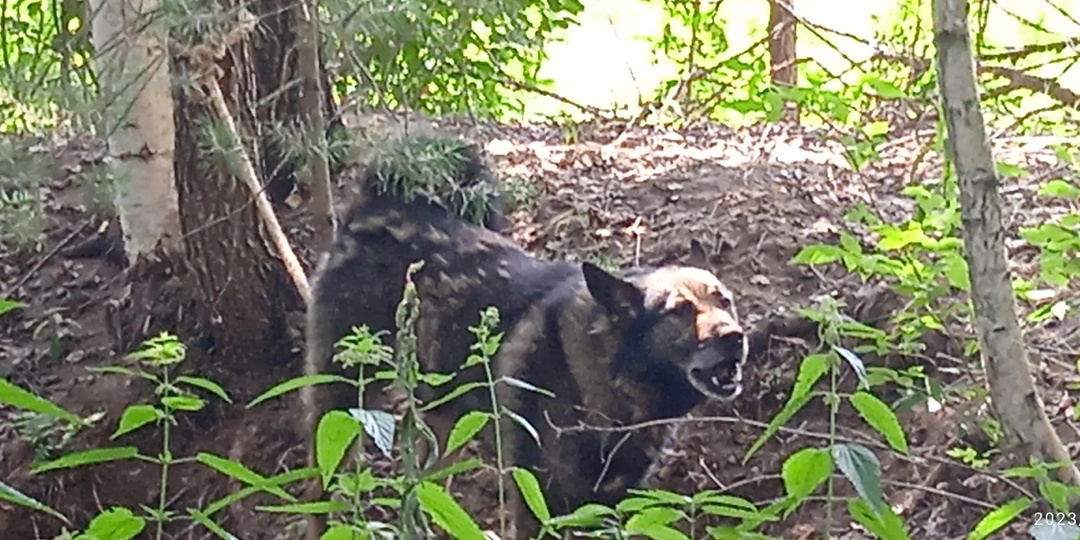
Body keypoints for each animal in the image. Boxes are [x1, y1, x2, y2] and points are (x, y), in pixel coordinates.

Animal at [300, 139, 747, 540]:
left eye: (724, 301)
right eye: (679, 312)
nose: (735, 337)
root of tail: (374, 210)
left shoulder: (607, 504)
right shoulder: (538, 502)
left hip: (444, 428)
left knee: (418, 492)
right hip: (340, 403)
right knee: (320, 490)